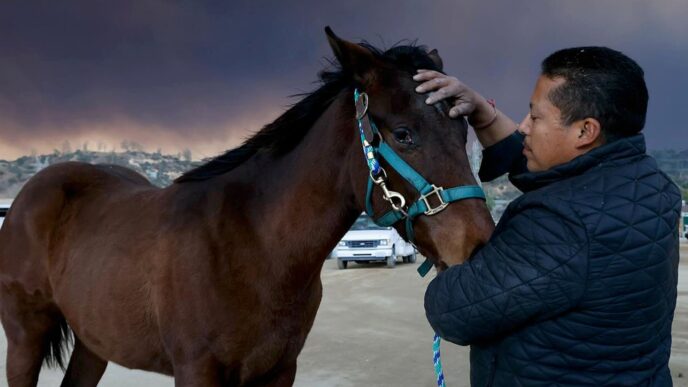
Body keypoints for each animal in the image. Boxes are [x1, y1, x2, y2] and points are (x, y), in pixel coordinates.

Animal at [0, 28, 494, 387]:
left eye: (463, 129)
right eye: (404, 134)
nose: (479, 246)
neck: (255, 245)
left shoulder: (279, 369)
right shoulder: (197, 371)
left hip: (94, 341)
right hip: (25, 338)